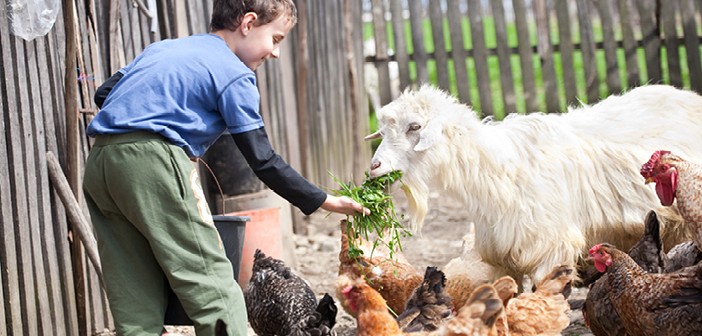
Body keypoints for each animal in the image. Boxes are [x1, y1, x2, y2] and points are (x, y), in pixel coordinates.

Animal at [366, 85, 702, 284]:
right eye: (382, 131)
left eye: (415, 127)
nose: (374, 167)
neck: (496, 167)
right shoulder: (504, 255)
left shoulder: (550, 247)